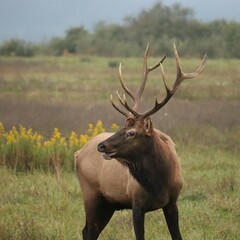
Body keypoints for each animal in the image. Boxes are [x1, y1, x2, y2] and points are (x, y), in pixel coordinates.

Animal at [75, 43, 206, 240]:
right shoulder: (136, 203)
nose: (102, 145)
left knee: (88, 231)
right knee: (88, 232)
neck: (158, 183)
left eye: (131, 133)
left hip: (108, 203)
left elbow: (177, 235)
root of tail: (77, 153)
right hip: (90, 193)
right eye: (121, 127)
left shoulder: (172, 202)